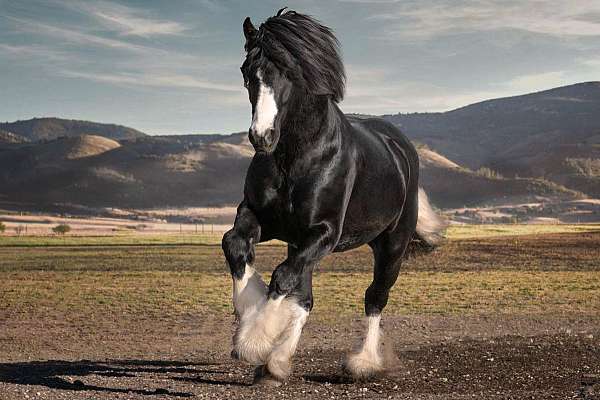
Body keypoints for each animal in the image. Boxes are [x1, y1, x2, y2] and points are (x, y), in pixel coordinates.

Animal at [221, 8, 446, 384]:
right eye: (246, 71)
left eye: (288, 72)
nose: (261, 137)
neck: (297, 156)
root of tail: (402, 149)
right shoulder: (264, 220)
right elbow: (235, 245)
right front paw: (251, 321)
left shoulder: (325, 233)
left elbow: (283, 277)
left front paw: (253, 341)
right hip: (300, 242)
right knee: (303, 298)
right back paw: (275, 363)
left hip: (392, 246)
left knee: (375, 298)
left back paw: (363, 363)